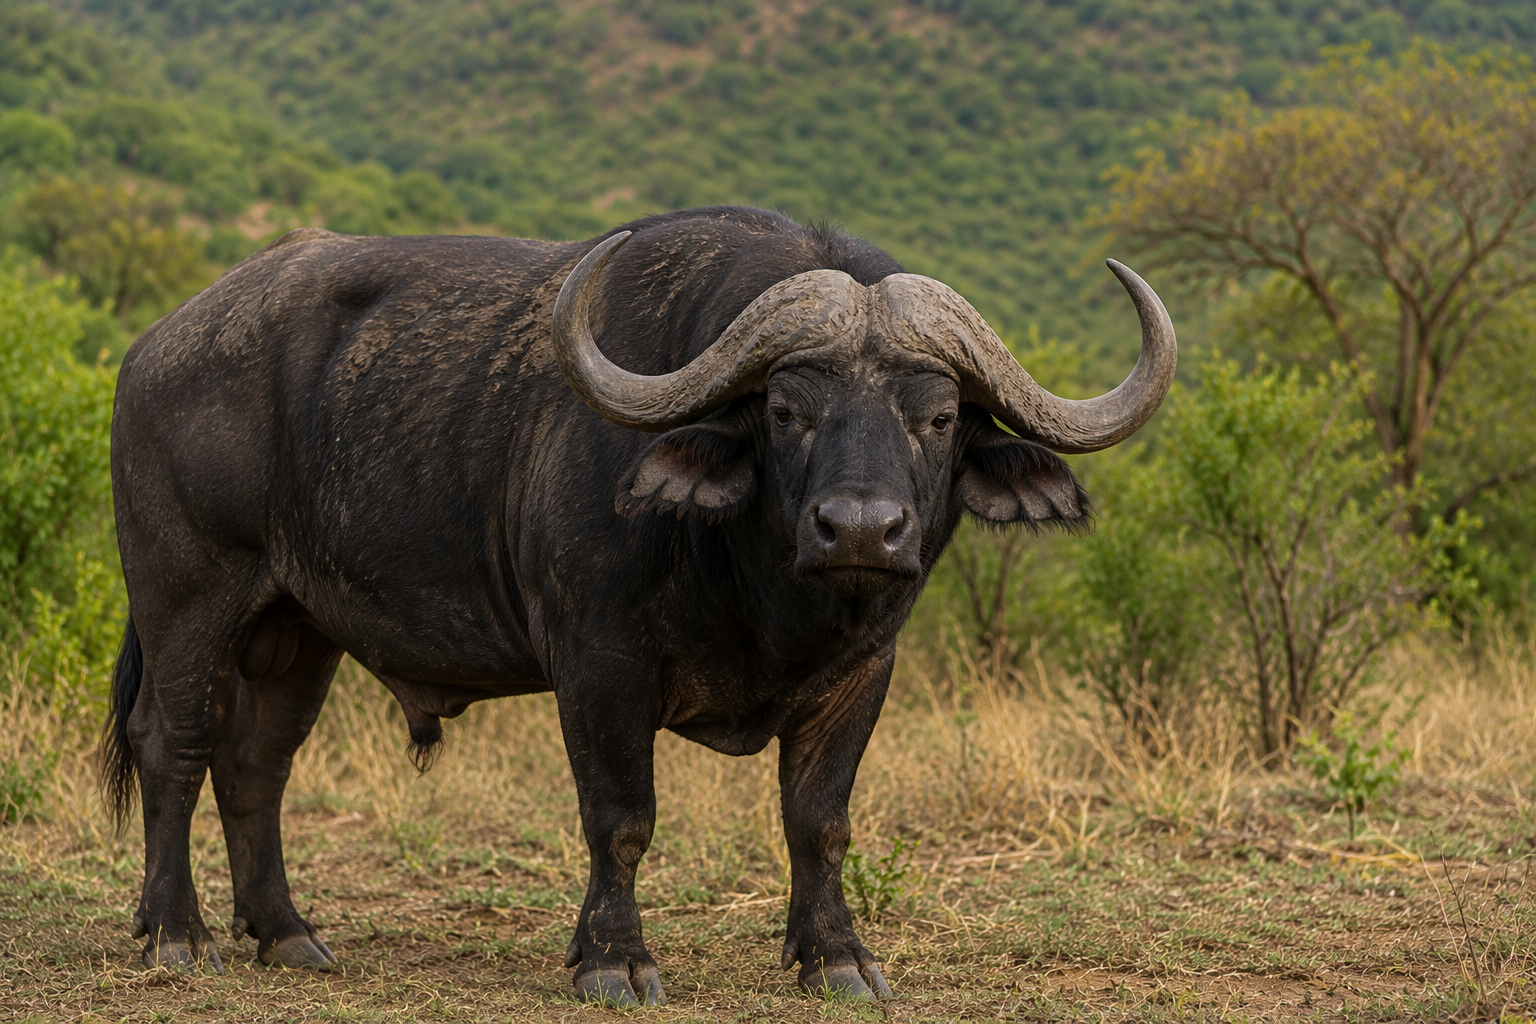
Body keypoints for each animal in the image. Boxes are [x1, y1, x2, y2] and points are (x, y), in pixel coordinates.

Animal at [102, 205, 1174, 1004]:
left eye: (940, 415)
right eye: (786, 410)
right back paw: (176, 934)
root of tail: (157, 348)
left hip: (297, 628)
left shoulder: (863, 674)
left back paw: (287, 934)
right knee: (175, 746)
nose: (861, 531)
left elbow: (819, 821)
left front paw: (836, 958)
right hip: (187, 599)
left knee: (256, 764)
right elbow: (620, 816)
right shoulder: (598, 665)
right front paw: (615, 961)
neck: (754, 587)